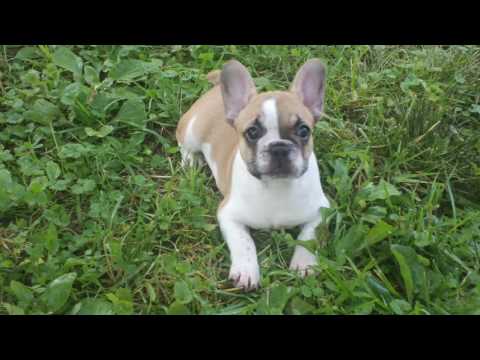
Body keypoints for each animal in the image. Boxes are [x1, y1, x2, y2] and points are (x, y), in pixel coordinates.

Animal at [176, 58, 330, 290]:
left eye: (304, 131)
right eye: (252, 132)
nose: (279, 147)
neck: (276, 186)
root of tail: (215, 92)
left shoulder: (321, 211)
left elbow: (309, 236)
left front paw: (304, 264)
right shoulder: (228, 214)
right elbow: (244, 242)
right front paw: (246, 271)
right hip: (191, 132)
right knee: (182, 143)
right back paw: (191, 161)